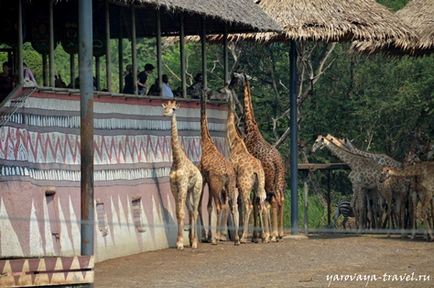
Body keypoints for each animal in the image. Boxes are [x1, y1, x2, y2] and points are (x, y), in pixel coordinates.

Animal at [162, 101, 204, 250]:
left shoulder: (182, 185)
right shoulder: (174, 188)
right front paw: (179, 241)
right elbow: (178, 213)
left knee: (195, 211)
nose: (165, 113)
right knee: (191, 210)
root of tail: (200, 174)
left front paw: (180, 243)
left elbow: (181, 213)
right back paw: (191, 240)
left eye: (173, 109)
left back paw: (195, 243)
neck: (177, 161)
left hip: (196, 189)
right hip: (188, 191)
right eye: (165, 107)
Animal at [198, 92, 239, 245]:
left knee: (220, 206)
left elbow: (203, 206)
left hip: (217, 185)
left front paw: (208, 236)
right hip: (230, 184)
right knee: (232, 205)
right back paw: (237, 239)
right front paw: (209, 235)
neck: (206, 143)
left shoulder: (204, 178)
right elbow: (208, 206)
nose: (209, 95)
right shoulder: (210, 182)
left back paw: (216, 238)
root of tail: (227, 173)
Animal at [225, 94, 270, 243]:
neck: (234, 144)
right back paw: (265, 236)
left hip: (245, 185)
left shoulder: (234, 182)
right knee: (261, 203)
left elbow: (234, 206)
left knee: (248, 205)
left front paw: (237, 237)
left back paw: (244, 237)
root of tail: (257, 170)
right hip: (258, 185)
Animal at [239, 75, 286, 241]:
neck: (250, 129)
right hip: (279, 181)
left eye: (235, 78)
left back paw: (274, 234)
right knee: (280, 199)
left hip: (269, 182)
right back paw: (279, 233)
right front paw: (259, 234)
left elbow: (254, 202)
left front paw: (255, 235)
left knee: (271, 201)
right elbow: (257, 202)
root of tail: (277, 162)